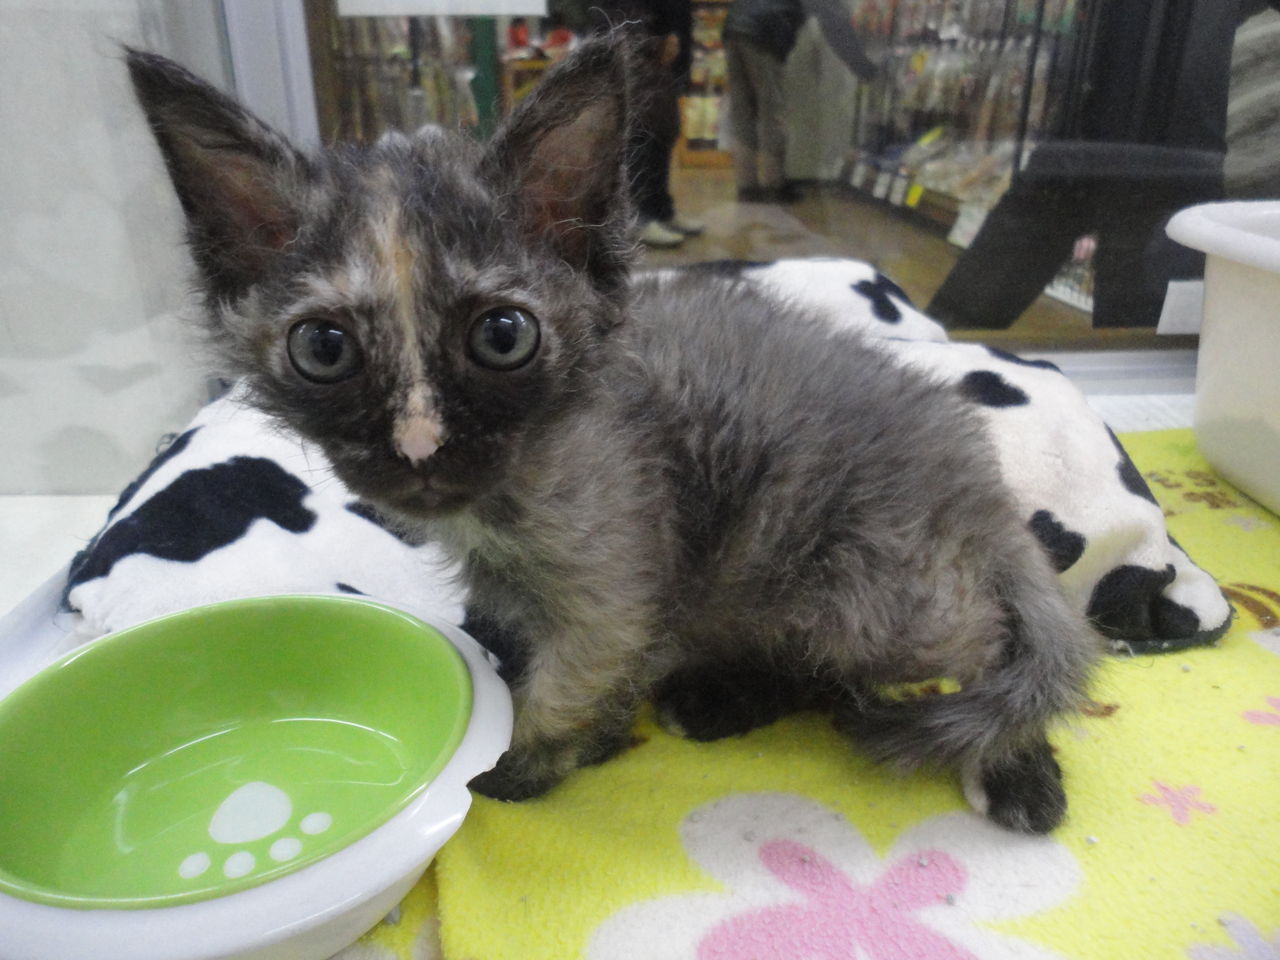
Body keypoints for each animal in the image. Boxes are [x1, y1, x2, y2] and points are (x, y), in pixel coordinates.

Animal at [128, 37, 1100, 833]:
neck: (508, 496)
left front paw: (516, 763)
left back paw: (1017, 768)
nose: (420, 447)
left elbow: (573, 677)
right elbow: (519, 631)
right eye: (323, 349)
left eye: (504, 336)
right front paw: (527, 679)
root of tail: (980, 492)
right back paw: (723, 698)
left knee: (983, 644)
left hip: (872, 584)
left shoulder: (615, 571)